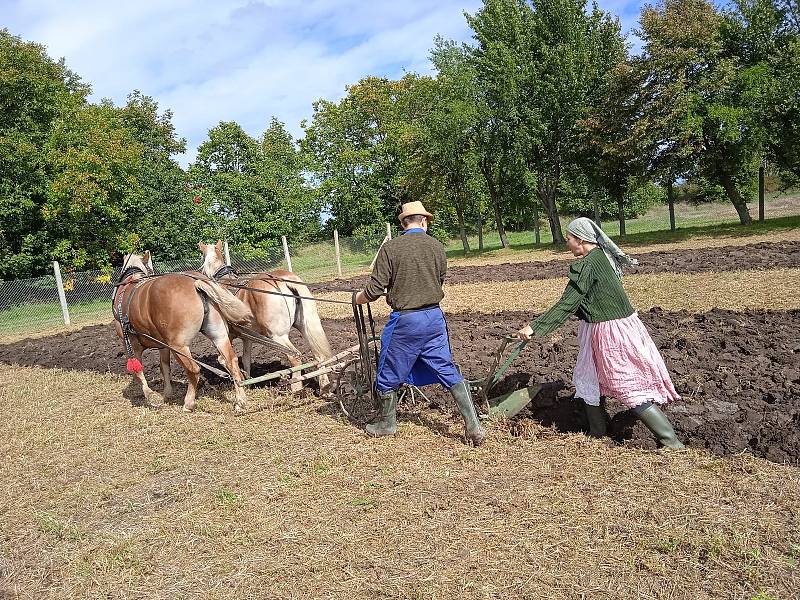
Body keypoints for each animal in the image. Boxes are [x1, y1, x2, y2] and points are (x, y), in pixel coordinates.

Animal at [112, 250, 255, 412]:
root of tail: (196, 283)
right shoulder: (162, 345)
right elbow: (164, 367)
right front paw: (167, 393)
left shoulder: (130, 342)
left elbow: (137, 371)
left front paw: (151, 396)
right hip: (219, 337)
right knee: (232, 362)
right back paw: (240, 401)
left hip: (178, 346)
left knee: (194, 370)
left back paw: (188, 403)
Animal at [202, 241, 336, 396]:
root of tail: (284, 279)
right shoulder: (247, 337)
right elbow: (246, 359)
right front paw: (247, 381)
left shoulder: (226, 336)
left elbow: (223, 360)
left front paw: (241, 380)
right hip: (304, 326)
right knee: (318, 355)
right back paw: (324, 387)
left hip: (277, 336)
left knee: (295, 356)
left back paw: (295, 388)